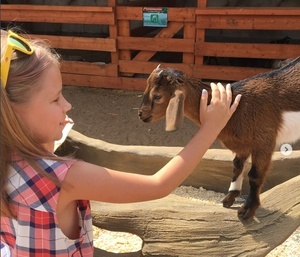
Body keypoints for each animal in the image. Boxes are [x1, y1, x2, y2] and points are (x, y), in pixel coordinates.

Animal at [138, 57, 300, 219]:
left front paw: (247, 210)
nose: (141, 114)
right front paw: (230, 197)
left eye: (157, 96)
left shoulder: (263, 142)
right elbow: (237, 165)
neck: (238, 106)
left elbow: (254, 175)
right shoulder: (242, 144)